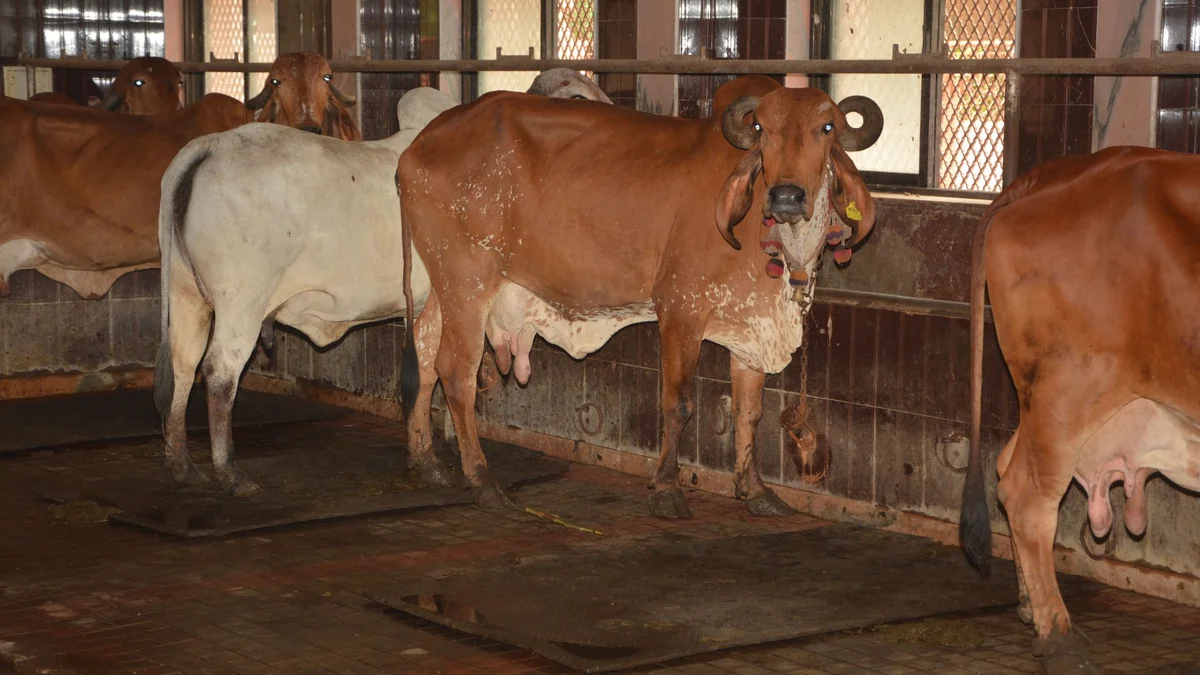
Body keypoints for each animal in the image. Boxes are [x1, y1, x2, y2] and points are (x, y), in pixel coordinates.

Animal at [152, 72, 614, 495]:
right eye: (579, 99)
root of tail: (211, 147)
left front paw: (445, 444)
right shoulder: (446, 301)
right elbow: (430, 371)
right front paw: (430, 461)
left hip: (187, 295)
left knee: (182, 363)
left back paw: (180, 463)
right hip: (242, 305)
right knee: (219, 374)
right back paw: (230, 473)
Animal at [394, 75, 883, 516]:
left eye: (827, 127)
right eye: (762, 127)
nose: (785, 196)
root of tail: (416, 148)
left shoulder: (750, 325)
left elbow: (750, 411)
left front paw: (756, 491)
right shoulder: (681, 310)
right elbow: (678, 403)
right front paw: (666, 488)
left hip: (447, 284)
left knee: (423, 347)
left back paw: (426, 460)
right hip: (467, 281)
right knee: (455, 371)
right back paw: (481, 479)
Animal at [959, 146, 1200, 674]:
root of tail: (1052, 175)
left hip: (1050, 400)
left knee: (1005, 465)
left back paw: (1031, 607)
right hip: (1067, 391)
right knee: (1026, 496)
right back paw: (1059, 638)